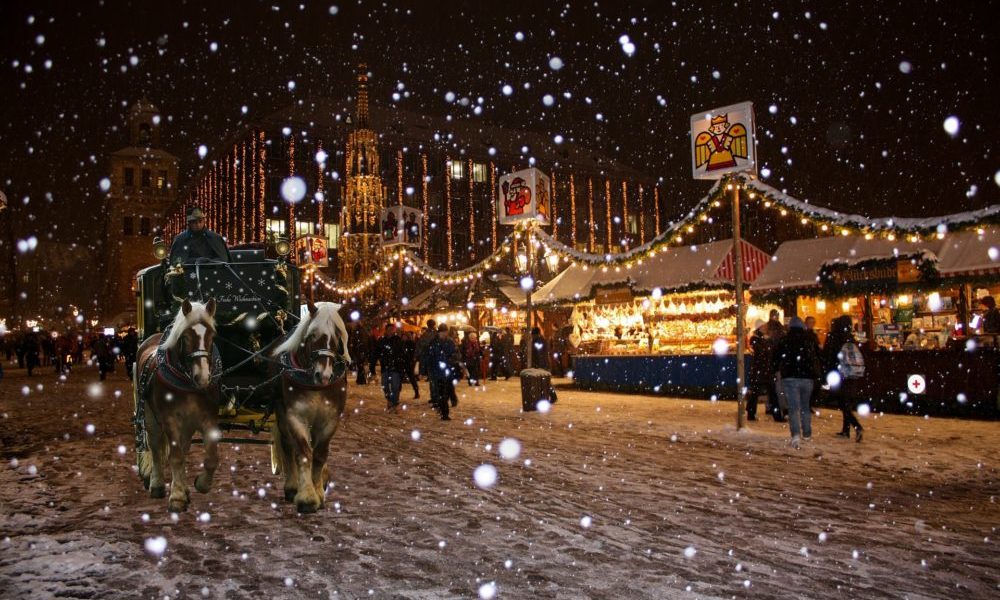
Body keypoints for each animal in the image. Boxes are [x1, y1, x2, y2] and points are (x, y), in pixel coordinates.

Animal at [135, 298, 221, 512]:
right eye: (186, 336)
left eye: (212, 335)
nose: (203, 377)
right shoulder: (170, 420)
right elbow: (175, 457)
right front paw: (177, 497)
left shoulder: (208, 418)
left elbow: (211, 458)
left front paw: (200, 484)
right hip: (149, 416)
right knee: (156, 448)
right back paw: (157, 484)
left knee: (183, 448)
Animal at [270, 300, 352, 510]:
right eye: (312, 335)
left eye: (337, 337)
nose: (323, 375)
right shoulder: (295, 415)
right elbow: (304, 452)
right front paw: (307, 496)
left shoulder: (331, 418)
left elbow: (320, 454)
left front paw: (318, 492)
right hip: (281, 411)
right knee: (288, 445)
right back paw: (292, 486)